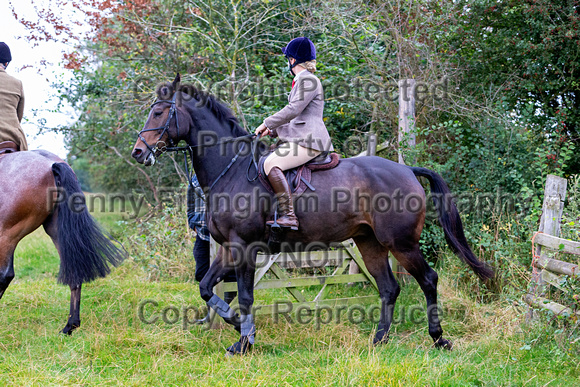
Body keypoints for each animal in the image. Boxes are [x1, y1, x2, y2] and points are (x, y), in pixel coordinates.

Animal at [0, 150, 125, 334]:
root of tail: (52, 163)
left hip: (7, 233)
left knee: (5, 275)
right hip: (57, 231)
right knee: (75, 272)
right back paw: (70, 326)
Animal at [133, 76, 494, 358]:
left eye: (159, 111)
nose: (139, 152)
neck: (231, 170)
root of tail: (407, 169)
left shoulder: (245, 246)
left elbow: (246, 296)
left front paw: (244, 341)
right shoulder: (227, 248)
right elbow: (207, 287)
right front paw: (237, 327)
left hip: (401, 243)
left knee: (428, 279)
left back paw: (438, 338)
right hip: (369, 243)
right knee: (389, 288)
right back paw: (378, 340)